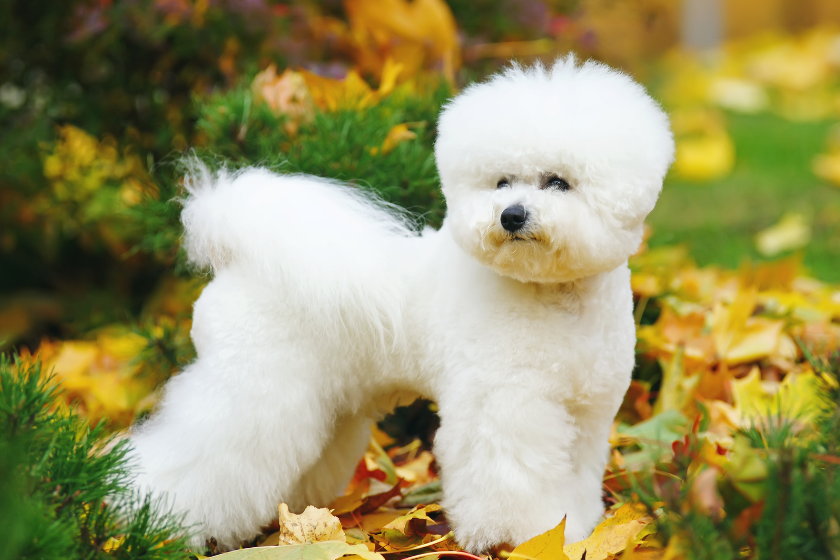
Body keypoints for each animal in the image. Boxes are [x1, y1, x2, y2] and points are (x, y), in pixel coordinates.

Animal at [128, 54, 672, 552]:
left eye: (558, 182)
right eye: (500, 182)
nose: (511, 215)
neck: (553, 296)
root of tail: (237, 258)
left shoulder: (587, 415)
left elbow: (576, 478)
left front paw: (575, 531)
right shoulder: (506, 406)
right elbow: (514, 478)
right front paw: (527, 537)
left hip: (322, 405)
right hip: (252, 391)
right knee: (193, 461)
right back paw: (151, 524)